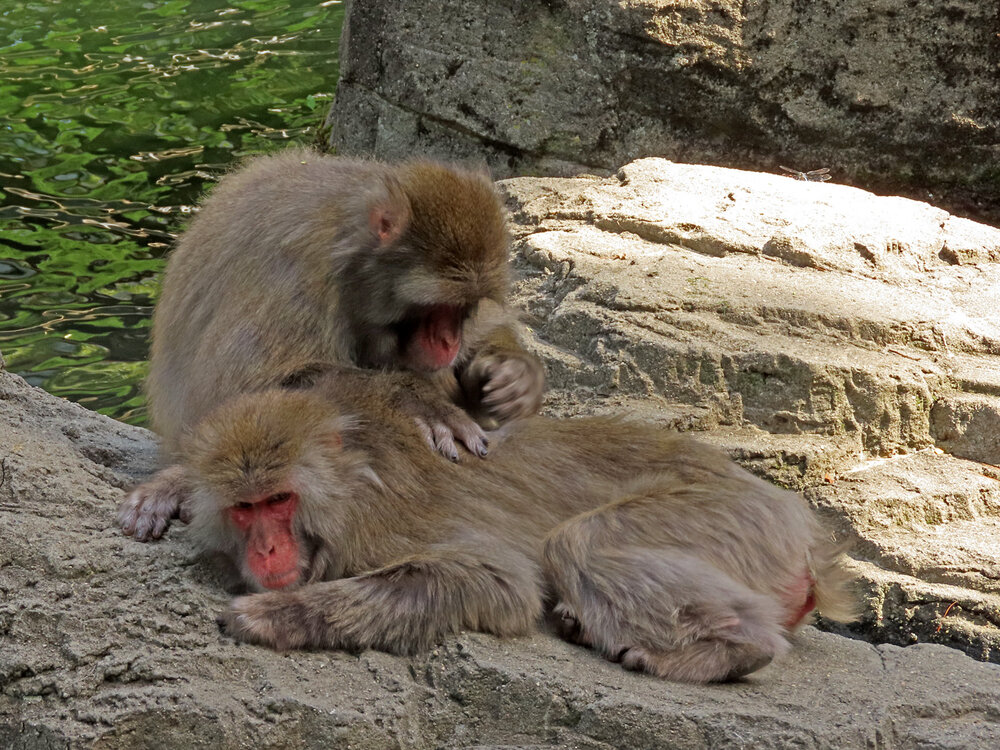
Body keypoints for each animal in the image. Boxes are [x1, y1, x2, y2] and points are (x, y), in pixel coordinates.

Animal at [119, 150, 548, 544]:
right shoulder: (295, 272)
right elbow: (252, 393)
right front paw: (417, 401)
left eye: (463, 308)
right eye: (436, 308)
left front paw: (513, 376)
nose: (449, 340)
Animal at [184, 368, 856, 684]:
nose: (268, 550)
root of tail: (805, 531)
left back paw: (733, 651)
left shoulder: (379, 527)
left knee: (580, 543)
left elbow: (494, 580)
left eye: (278, 500)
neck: (346, 491)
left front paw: (276, 617)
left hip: (733, 516)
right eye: (244, 508)